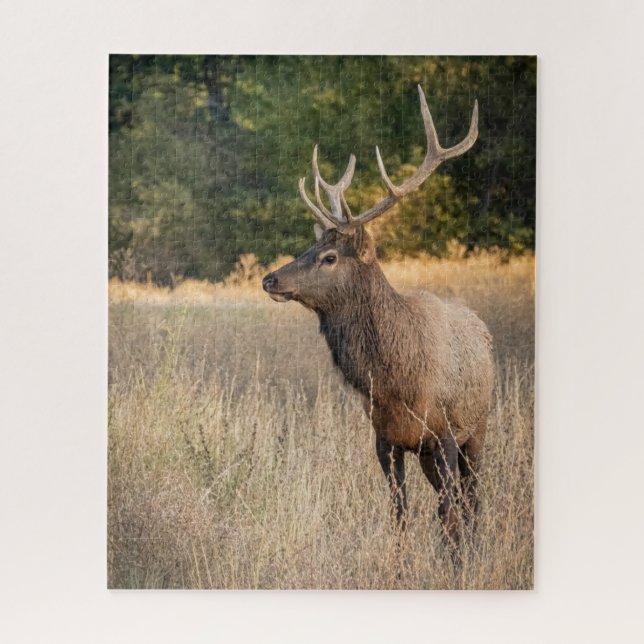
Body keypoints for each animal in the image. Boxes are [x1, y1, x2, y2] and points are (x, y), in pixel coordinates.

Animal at [262, 85, 494, 549]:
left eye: (330, 257)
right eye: (311, 247)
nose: (270, 278)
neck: (395, 380)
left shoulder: (444, 432)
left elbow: (448, 514)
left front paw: (453, 561)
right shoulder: (385, 439)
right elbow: (399, 514)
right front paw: (401, 560)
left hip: (477, 429)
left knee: (469, 501)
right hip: (428, 452)